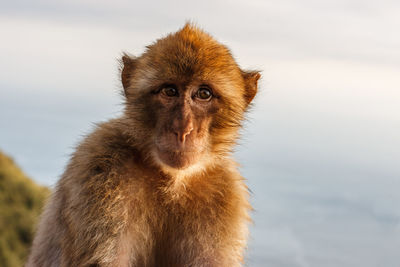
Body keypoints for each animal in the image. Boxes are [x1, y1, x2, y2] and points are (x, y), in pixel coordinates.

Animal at [26, 23, 260, 267]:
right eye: (170, 91)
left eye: (203, 93)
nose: (183, 129)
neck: (171, 181)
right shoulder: (99, 168)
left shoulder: (226, 194)